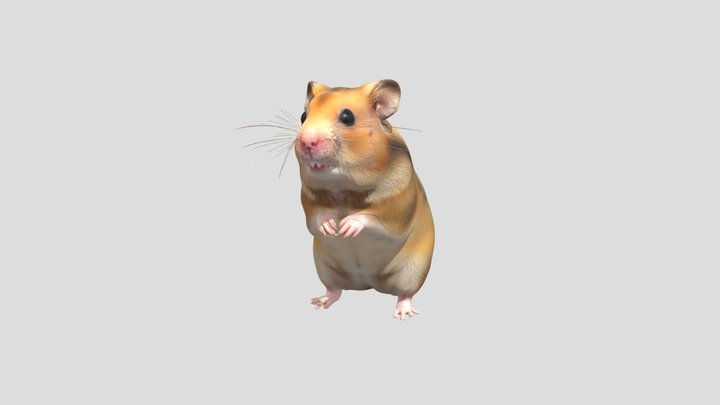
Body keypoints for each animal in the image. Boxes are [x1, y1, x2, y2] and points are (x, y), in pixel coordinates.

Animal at [293, 80, 435, 320]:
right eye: (303, 116)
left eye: (347, 117)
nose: (306, 142)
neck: (343, 190)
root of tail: (369, 281)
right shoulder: (309, 201)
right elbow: (316, 217)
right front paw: (330, 229)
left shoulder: (397, 206)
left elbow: (373, 217)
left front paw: (345, 227)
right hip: (326, 268)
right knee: (335, 289)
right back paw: (320, 302)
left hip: (413, 270)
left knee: (405, 293)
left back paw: (403, 313)